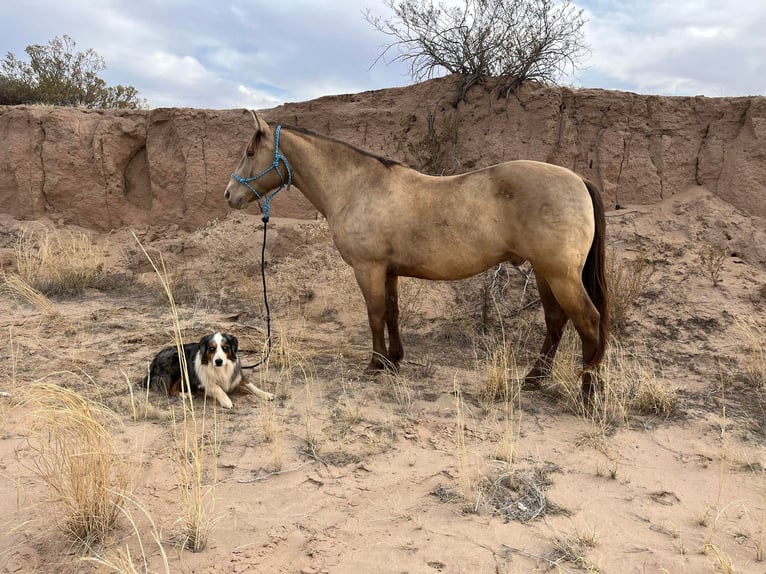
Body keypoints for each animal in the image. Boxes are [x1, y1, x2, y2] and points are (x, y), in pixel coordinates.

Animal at [142, 332, 274, 410]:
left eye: (225, 348)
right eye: (211, 348)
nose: (218, 361)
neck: (220, 369)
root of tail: (153, 362)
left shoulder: (235, 377)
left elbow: (251, 385)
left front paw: (266, 394)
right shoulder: (202, 383)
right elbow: (217, 388)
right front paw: (227, 401)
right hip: (178, 360)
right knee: (170, 389)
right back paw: (185, 394)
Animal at [224, 112, 612, 400]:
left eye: (248, 152)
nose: (229, 194)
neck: (357, 186)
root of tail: (578, 180)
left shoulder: (368, 269)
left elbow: (375, 316)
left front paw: (375, 364)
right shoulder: (389, 271)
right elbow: (392, 314)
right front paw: (394, 360)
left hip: (560, 275)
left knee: (588, 322)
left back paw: (588, 393)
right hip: (547, 274)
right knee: (556, 321)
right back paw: (535, 378)